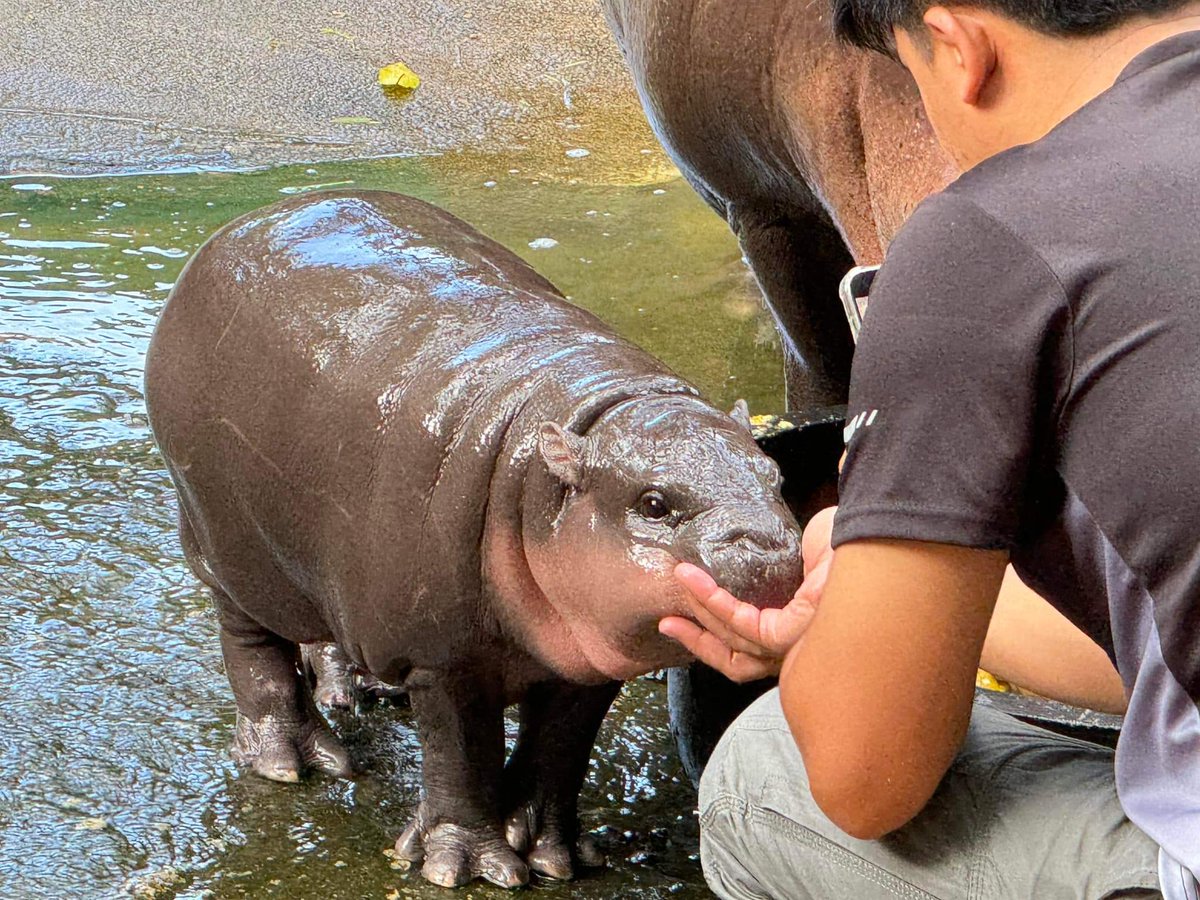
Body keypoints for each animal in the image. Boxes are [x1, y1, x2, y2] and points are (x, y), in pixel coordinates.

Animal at [143, 191, 806, 888]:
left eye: (775, 474)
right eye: (653, 503)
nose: (771, 549)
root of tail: (239, 226)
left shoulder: (587, 657)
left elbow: (560, 750)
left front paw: (555, 856)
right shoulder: (444, 659)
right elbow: (462, 757)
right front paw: (467, 866)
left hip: (321, 559)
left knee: (324, 627)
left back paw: (353, 694)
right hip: (227, 543)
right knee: (250, 641)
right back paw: (295, 760)